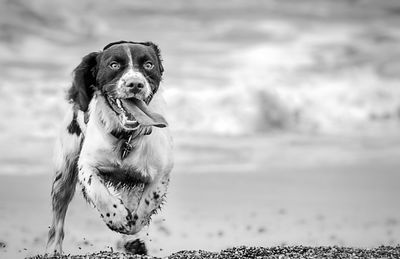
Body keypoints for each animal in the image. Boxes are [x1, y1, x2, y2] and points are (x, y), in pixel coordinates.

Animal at [45, 41, 173, 256]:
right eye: (114, 65)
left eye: (148, 65)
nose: (135, 84)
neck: (126, 137)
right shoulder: (86, 165)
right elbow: (98, 191)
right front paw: (117, 217)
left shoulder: (161, 171)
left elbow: (147, 202)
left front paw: (132, 227)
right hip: (63, 176)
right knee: (57, 220)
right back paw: (52, 251)